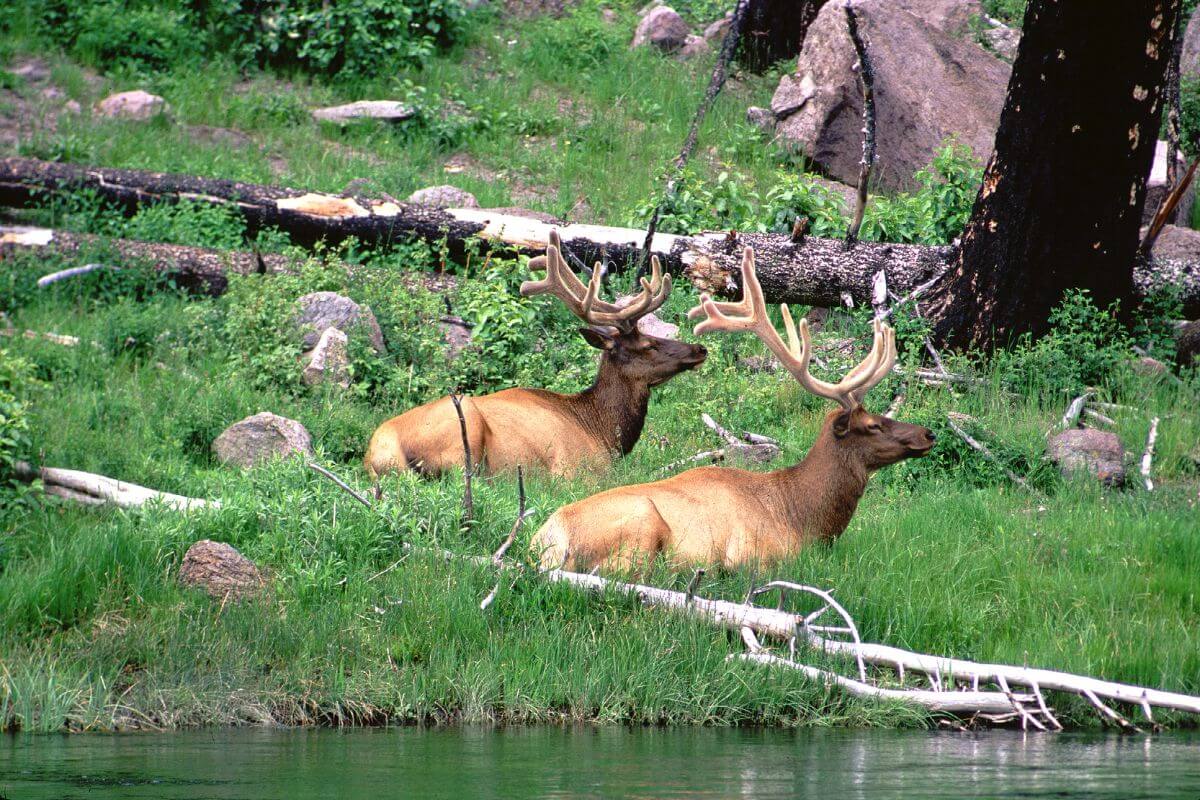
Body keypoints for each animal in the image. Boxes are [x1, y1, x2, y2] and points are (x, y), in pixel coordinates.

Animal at [364, 231, 708, 479]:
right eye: (648, 344)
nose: (699, 349)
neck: (604, 433)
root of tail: (378, 454)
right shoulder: (574, 469)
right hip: (463, 431)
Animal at [530, 246, 935, 573]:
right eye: (872, 425)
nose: (928, 433)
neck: (803, 518)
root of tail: (547, 543)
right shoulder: (749, 554)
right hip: (642, 523)